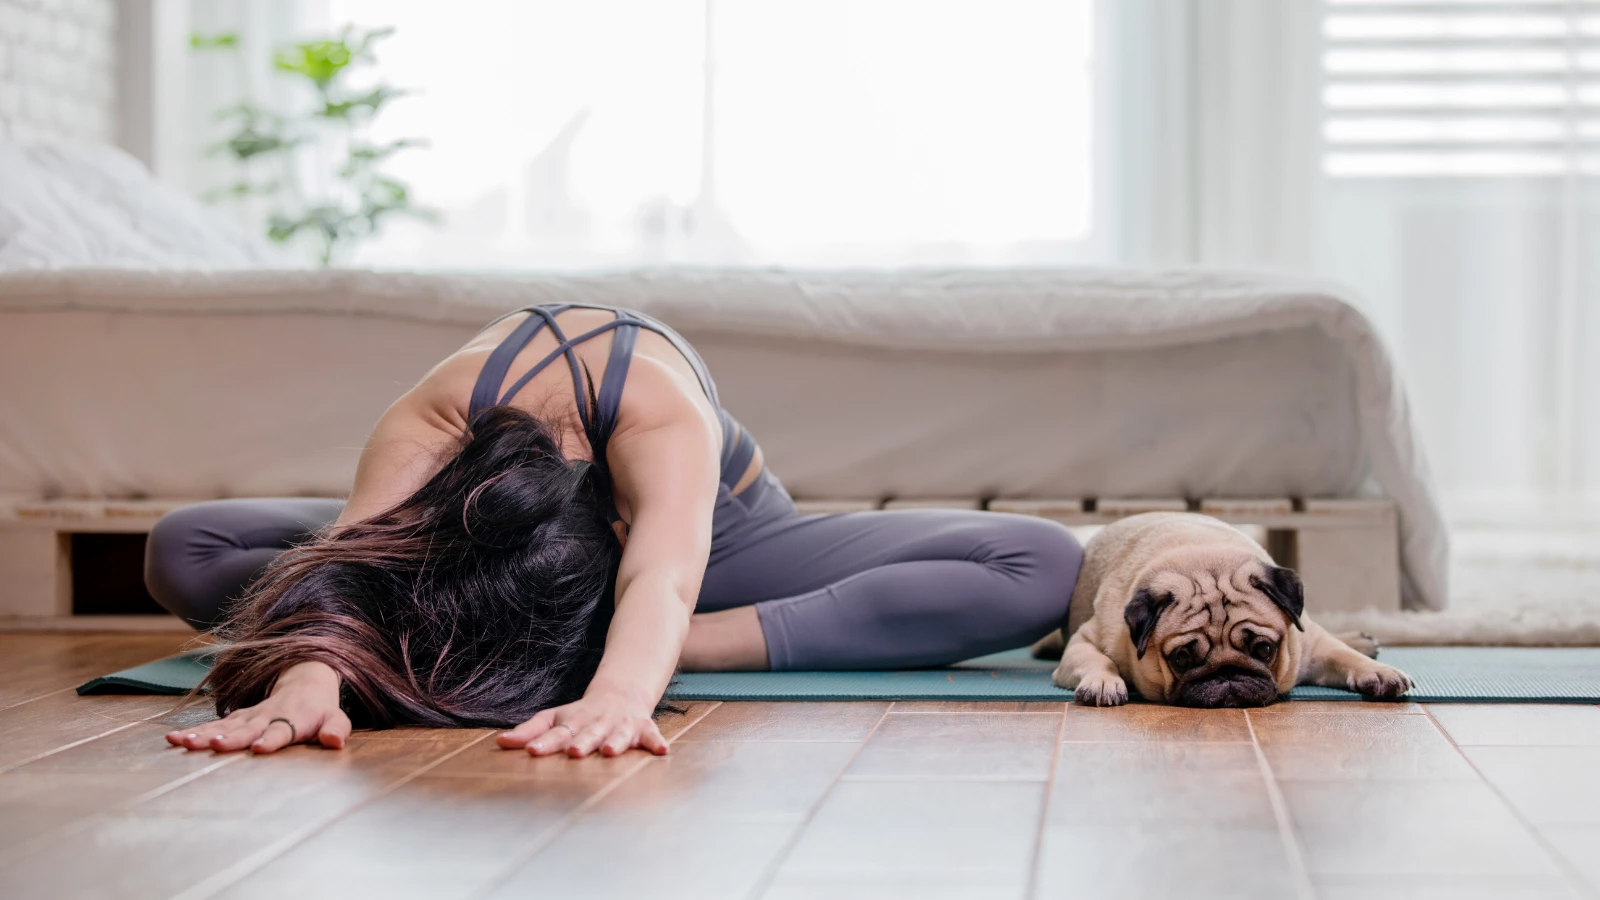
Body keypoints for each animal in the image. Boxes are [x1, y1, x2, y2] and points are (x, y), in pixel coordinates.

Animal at [1030, 509, 1408, 704]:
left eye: (1264, 649)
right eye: (1182, 658)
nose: (1227, 672)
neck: (1203, 558)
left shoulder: (1307, 644)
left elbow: (1342, 655)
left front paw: (1377, 671)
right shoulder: (1085, 641)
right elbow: (1098, 660)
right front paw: (1104, 682)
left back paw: (1361, 640)